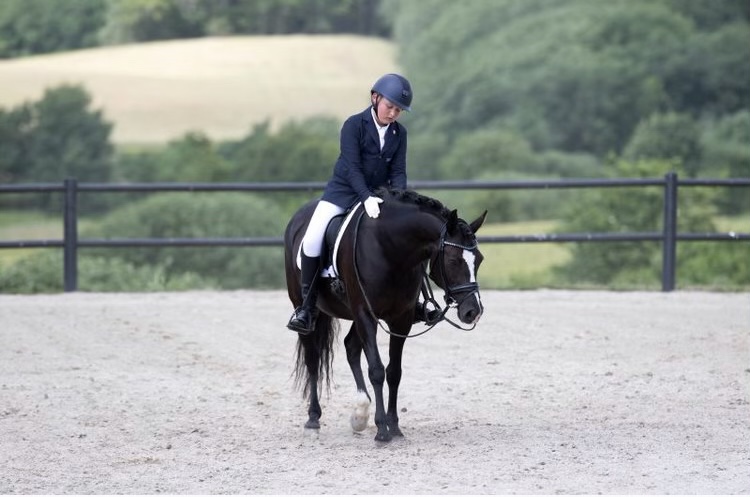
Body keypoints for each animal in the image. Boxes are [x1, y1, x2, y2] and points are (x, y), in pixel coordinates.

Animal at [282, 187, 488, 442]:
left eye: (479, 260)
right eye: (452, 260)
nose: (473, 312)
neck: (390, 249)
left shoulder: (400, 319)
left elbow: (393, 372)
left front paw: (394, 426)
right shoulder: (365, 313)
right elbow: (377, 370)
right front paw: (382, 430)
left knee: (351, 347)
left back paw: (360, 412)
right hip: (306, 305)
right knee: (313, 358)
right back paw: (313, 418)